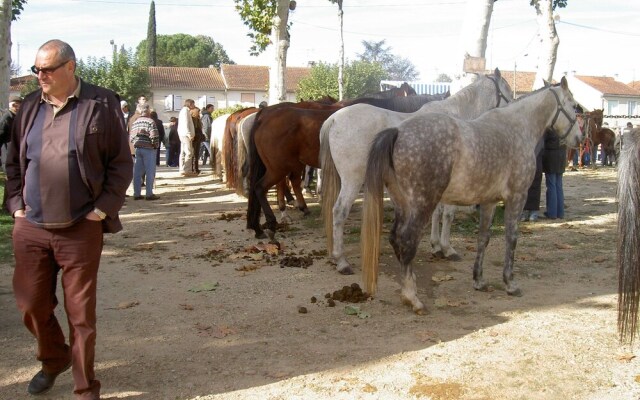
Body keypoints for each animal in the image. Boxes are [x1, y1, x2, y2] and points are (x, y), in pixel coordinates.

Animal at [320, 69, 516, 276]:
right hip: (353, 180)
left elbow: (437, 213)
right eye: (507, 91)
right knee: (339, 212)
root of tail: (334, 119)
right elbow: (448, 214)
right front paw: (448, 249)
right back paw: (342, 262)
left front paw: (436, 247)